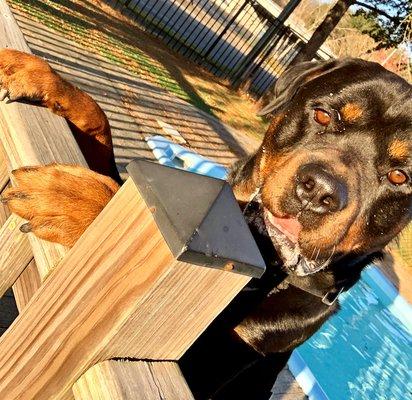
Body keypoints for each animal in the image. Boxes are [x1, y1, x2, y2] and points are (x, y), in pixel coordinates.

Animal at [0, 48, 412, 398]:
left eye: (399, 177)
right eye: (324, 115)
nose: (320, 190)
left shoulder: (186, 364)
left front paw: (74, 197)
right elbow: (102, 131)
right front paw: (35, 74)